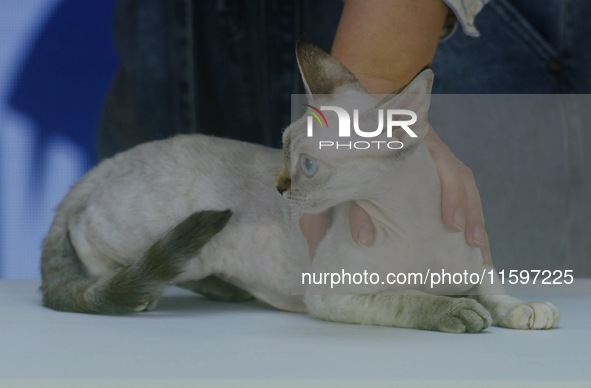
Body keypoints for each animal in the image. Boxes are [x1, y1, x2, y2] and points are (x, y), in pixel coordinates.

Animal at [40, 40, 560, 334]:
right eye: (284, 147)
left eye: (307, 163)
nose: (278, 186)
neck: (411, 224)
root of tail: (104, 164)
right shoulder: (335, 295)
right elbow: (408, 299)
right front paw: (455, 311)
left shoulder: (475, 268)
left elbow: (498, 293)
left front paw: (529, 310)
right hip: (158, 228)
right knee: (88, 247)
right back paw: (136, 291)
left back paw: (227, 290)